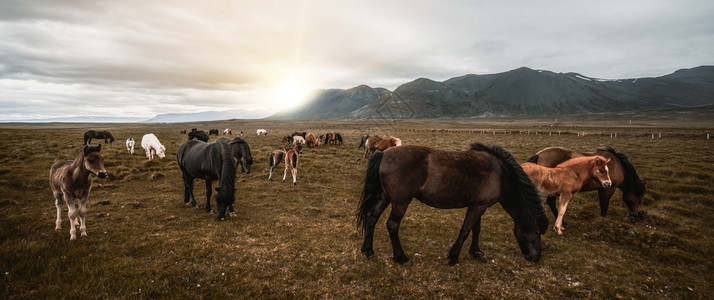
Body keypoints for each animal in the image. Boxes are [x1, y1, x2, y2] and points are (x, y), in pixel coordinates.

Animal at [356, 142, 544, 264]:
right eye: (537, 231)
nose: (536, 258)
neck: (500, 174)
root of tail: (384, 153)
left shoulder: (479, 205)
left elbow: (476, 229)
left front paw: (476, 252)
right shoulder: (478, 207)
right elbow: (466, 230)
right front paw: (454, 257)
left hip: (384, 196)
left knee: (372, 217)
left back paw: (368, 251)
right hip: (401, 201)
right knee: (392, 225)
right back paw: (401, 258)